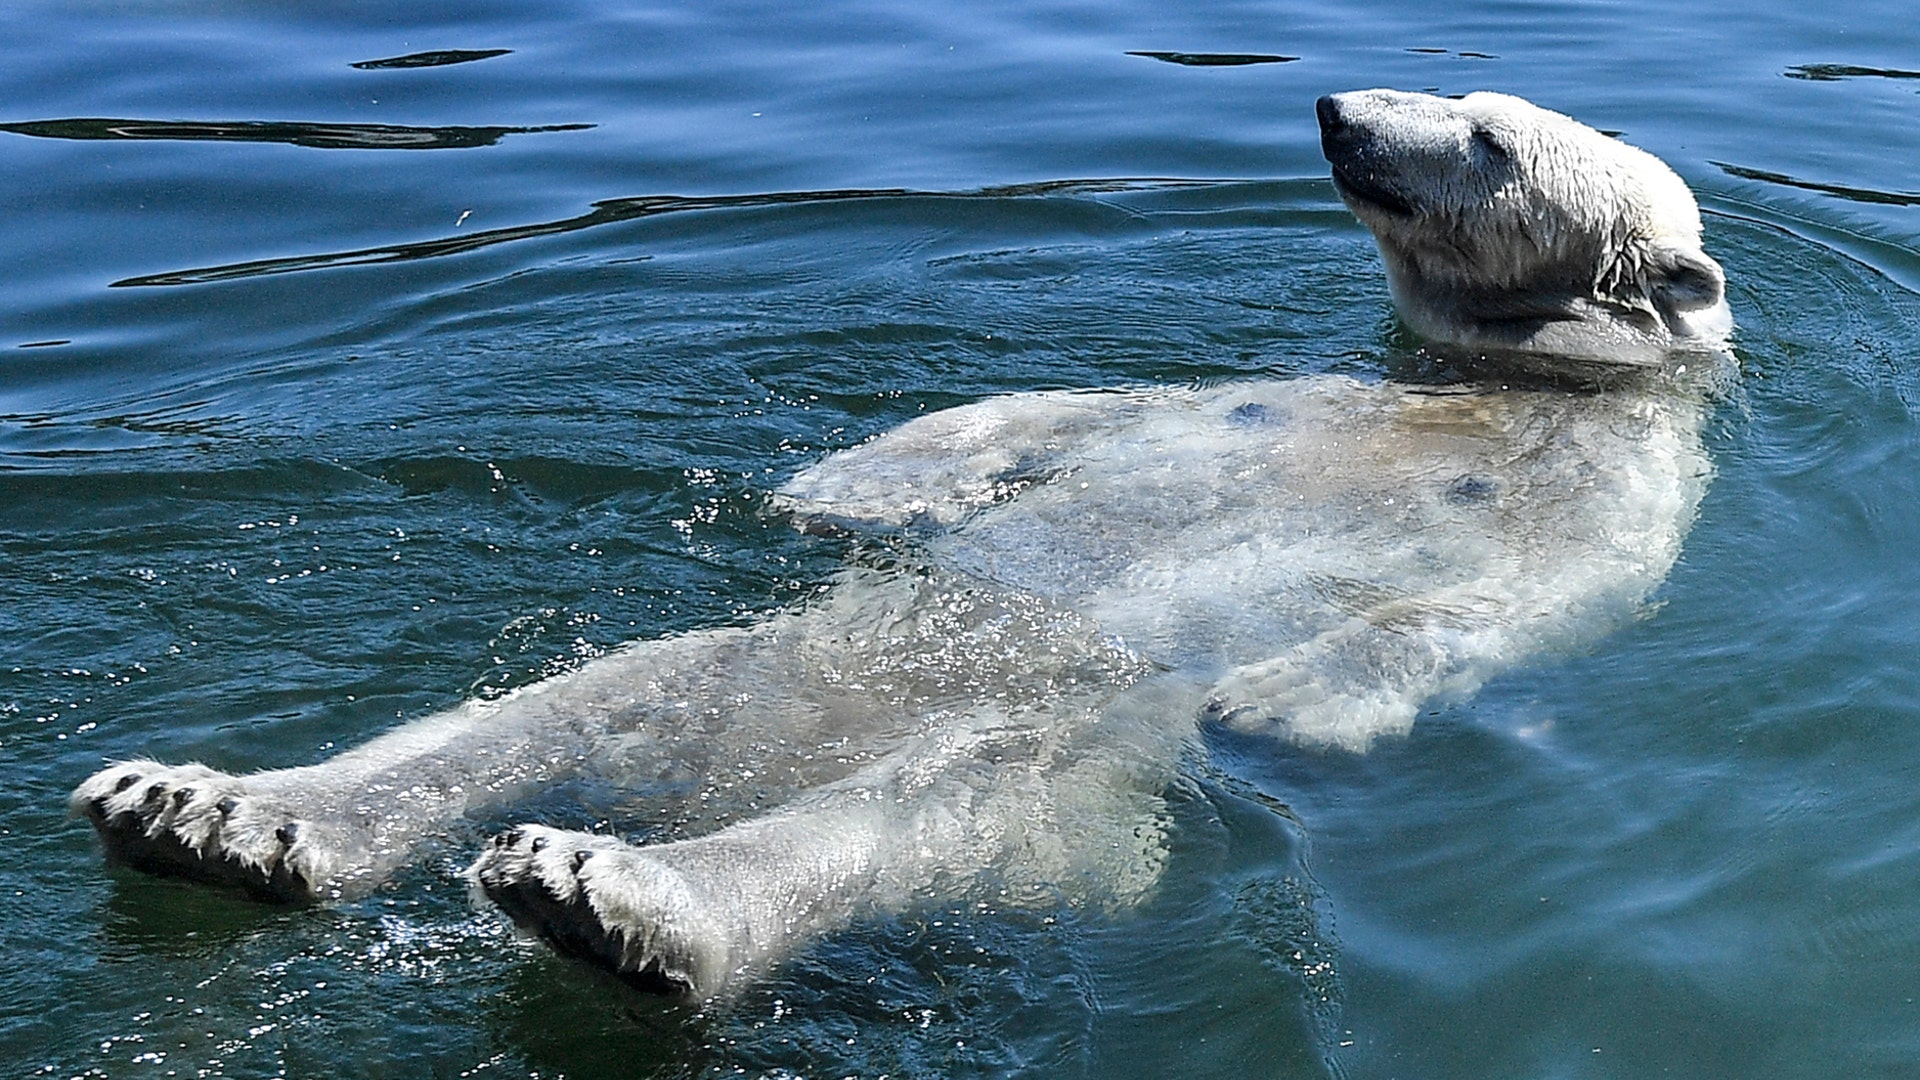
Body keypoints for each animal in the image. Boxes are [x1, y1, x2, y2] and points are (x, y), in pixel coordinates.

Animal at [72, 90, 1731, 997]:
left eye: (1488, 138)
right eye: (1459, 103)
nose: (1333, 112)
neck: (1514, 383)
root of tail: (741, 766)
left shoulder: (1621, 490)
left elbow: (1523, 607)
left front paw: (1292, 699)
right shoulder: (1270, 389)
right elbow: (1055, 413)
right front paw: (842, 478)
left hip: (1072, 758)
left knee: (930, 799)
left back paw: (616, 900)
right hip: (760, 667)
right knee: (575, 695)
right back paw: (215, 815)